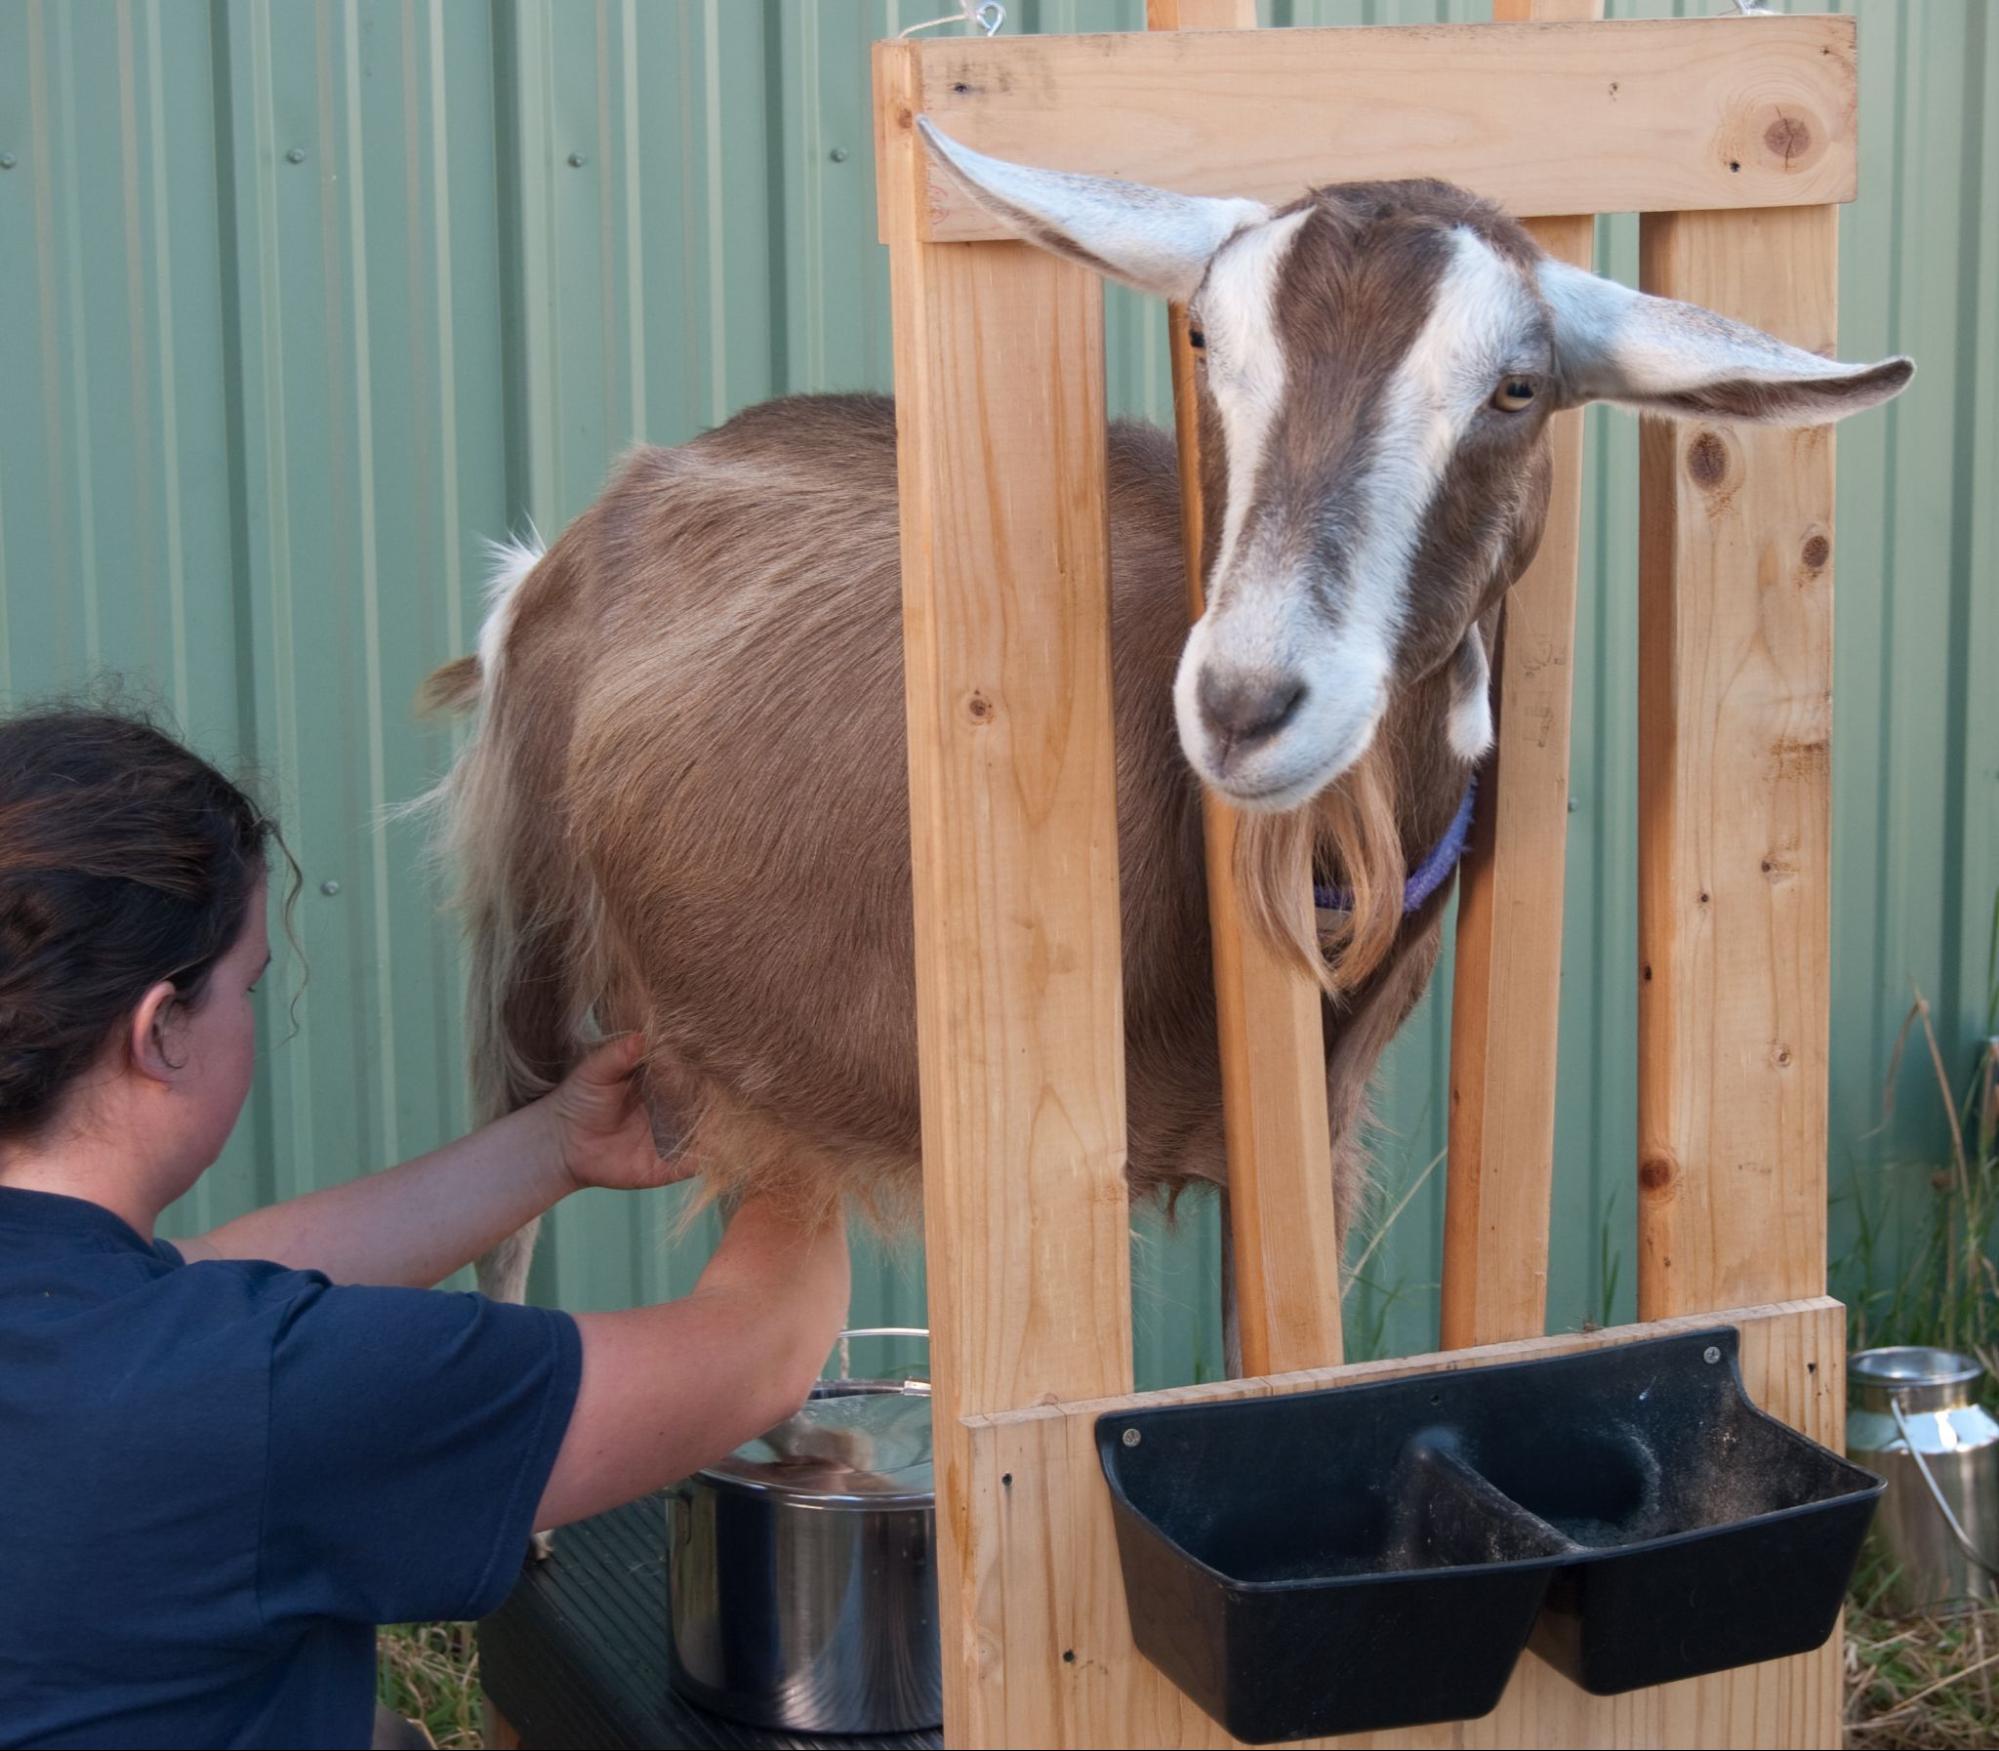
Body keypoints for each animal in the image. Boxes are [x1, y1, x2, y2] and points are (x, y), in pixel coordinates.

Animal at [422, 125, 1911, 1316]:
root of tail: (586, 522)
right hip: (533, 943)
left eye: (1517, 387)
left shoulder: (1301, 1138)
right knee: (506, 1203)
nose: (1246, 701)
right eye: (1205, 340)